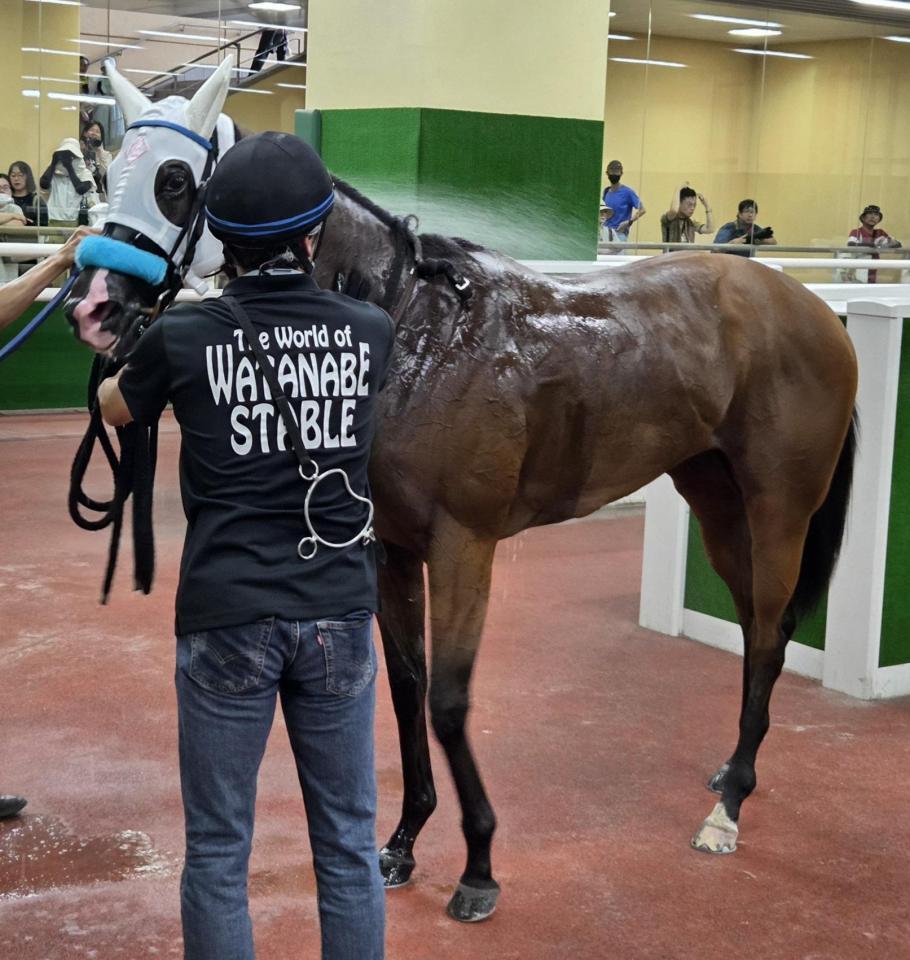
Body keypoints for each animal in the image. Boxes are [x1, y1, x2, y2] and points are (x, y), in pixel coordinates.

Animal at [64, 60, 858, 923]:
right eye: (109, 170)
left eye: (175, 181)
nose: (95, 307)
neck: (415, 331)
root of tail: (818, 313)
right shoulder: (389, 548)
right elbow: (407, 686)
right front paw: (404, 841)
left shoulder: (463, 545)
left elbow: (448, 699)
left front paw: (478, 864)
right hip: (716, 502)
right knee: (757, 630)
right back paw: (731, 773)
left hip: (779, 509)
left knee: (769, 635)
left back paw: (728, 808)